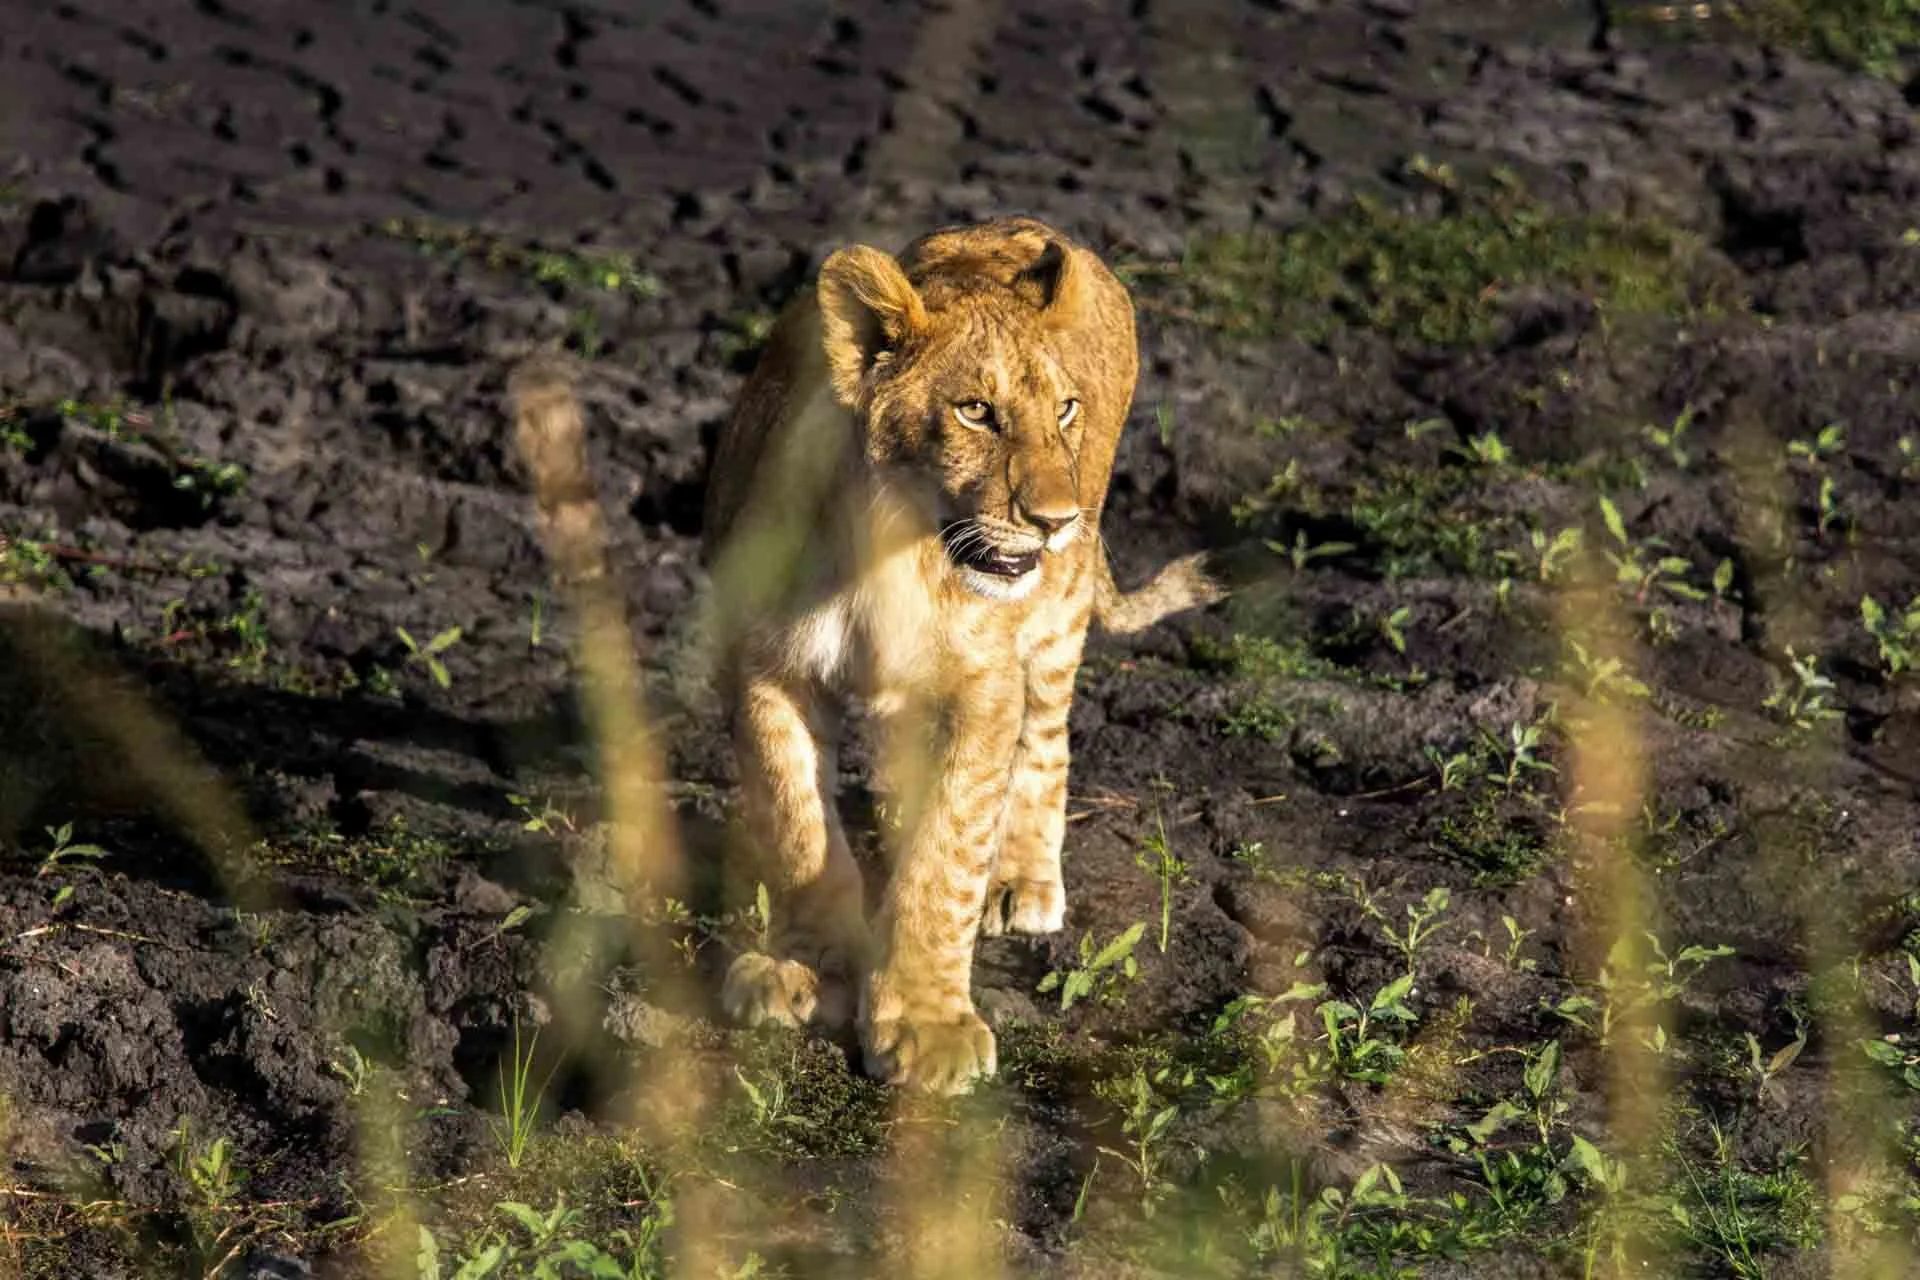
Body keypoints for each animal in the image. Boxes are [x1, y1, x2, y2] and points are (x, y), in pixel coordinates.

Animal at [696, 217, 1219, 1093]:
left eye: (1065, 410)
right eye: (977, 411)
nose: (1056, 520)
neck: (890, 547)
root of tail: (1039, 228)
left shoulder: (983, 690)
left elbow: (948, 857)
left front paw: (927, 1023)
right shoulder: (769, 668)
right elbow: (796, 823)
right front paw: (807, 966)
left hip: (1055, 620)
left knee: (1045, 737)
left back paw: (1021, 878)